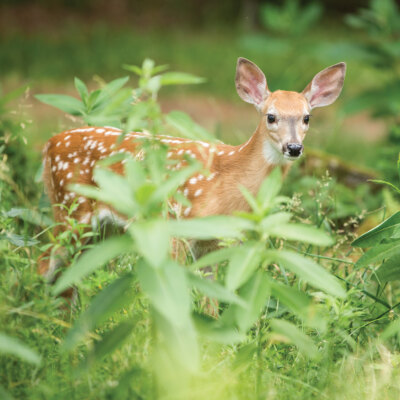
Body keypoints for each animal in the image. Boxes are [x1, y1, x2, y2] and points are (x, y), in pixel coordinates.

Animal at [38, 57, 346, 288]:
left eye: (307, 118)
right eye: (271, 116)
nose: (293, 147)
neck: (228, 178)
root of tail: (49, 144)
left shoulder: (213, 242)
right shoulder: (178, 227)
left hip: (101, 227)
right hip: (71, 209)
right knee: (44, 263)